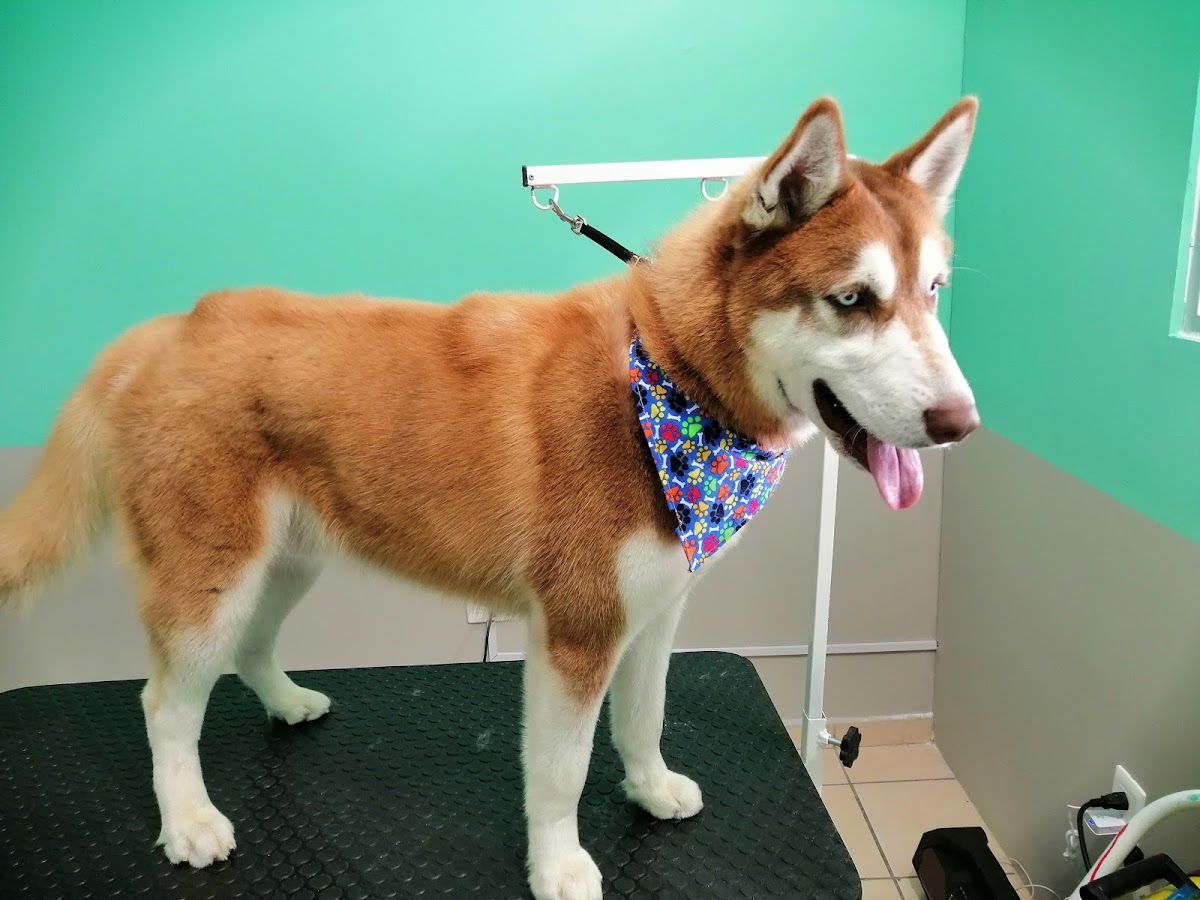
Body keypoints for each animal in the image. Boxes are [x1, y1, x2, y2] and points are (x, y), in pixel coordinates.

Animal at [0, 96, 979, 900]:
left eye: (934, 292)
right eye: (851, 299)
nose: (961, 421)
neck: (666, 376)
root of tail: (160, 334)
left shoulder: (654, 616)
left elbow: (644, 718)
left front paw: (650, 787)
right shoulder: (577, 632)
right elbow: (559, 774)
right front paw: (559, 867)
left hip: (285, 565)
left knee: (249, 651)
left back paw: (286, 702)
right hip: (213, 580)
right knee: (164, 706)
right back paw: (189, 822)